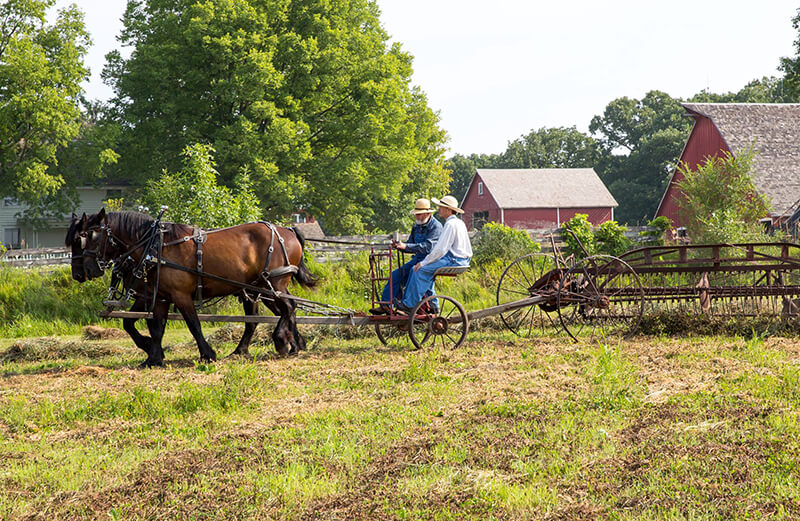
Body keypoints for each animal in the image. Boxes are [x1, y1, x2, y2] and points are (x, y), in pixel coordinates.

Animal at [66, 209, 316, 368]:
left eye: (85, 237)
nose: (80, 273)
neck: (154, 248)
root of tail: (288, 231)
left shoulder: (179, 295)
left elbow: (193, 325)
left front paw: (207, 354)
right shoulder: (160, 297)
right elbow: (154, 327)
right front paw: (153, 357)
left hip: (273, 284)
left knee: (288, 307)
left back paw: (282, 341)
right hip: (261, 289)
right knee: (276, 313)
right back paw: (279, 346)